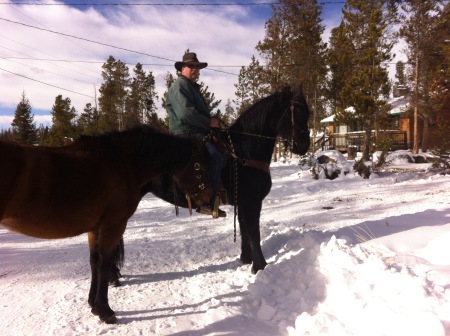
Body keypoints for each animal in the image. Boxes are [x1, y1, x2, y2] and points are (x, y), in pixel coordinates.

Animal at [0, 125, 213, 322]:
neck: (123, 164)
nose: (209, 200)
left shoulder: (95, 228)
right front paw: (105, 311)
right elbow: (105, 262)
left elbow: (94, 261)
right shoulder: (114, 225)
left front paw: (92, 304)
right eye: (200, 167)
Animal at [113, 84, 310, 278]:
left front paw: (246, 260)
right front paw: (260, 267)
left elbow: (244, 230)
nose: (304, 146)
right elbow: (254, 232)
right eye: (297, 113)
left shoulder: (242, 203)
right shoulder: (251, 203)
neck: (243, 152)